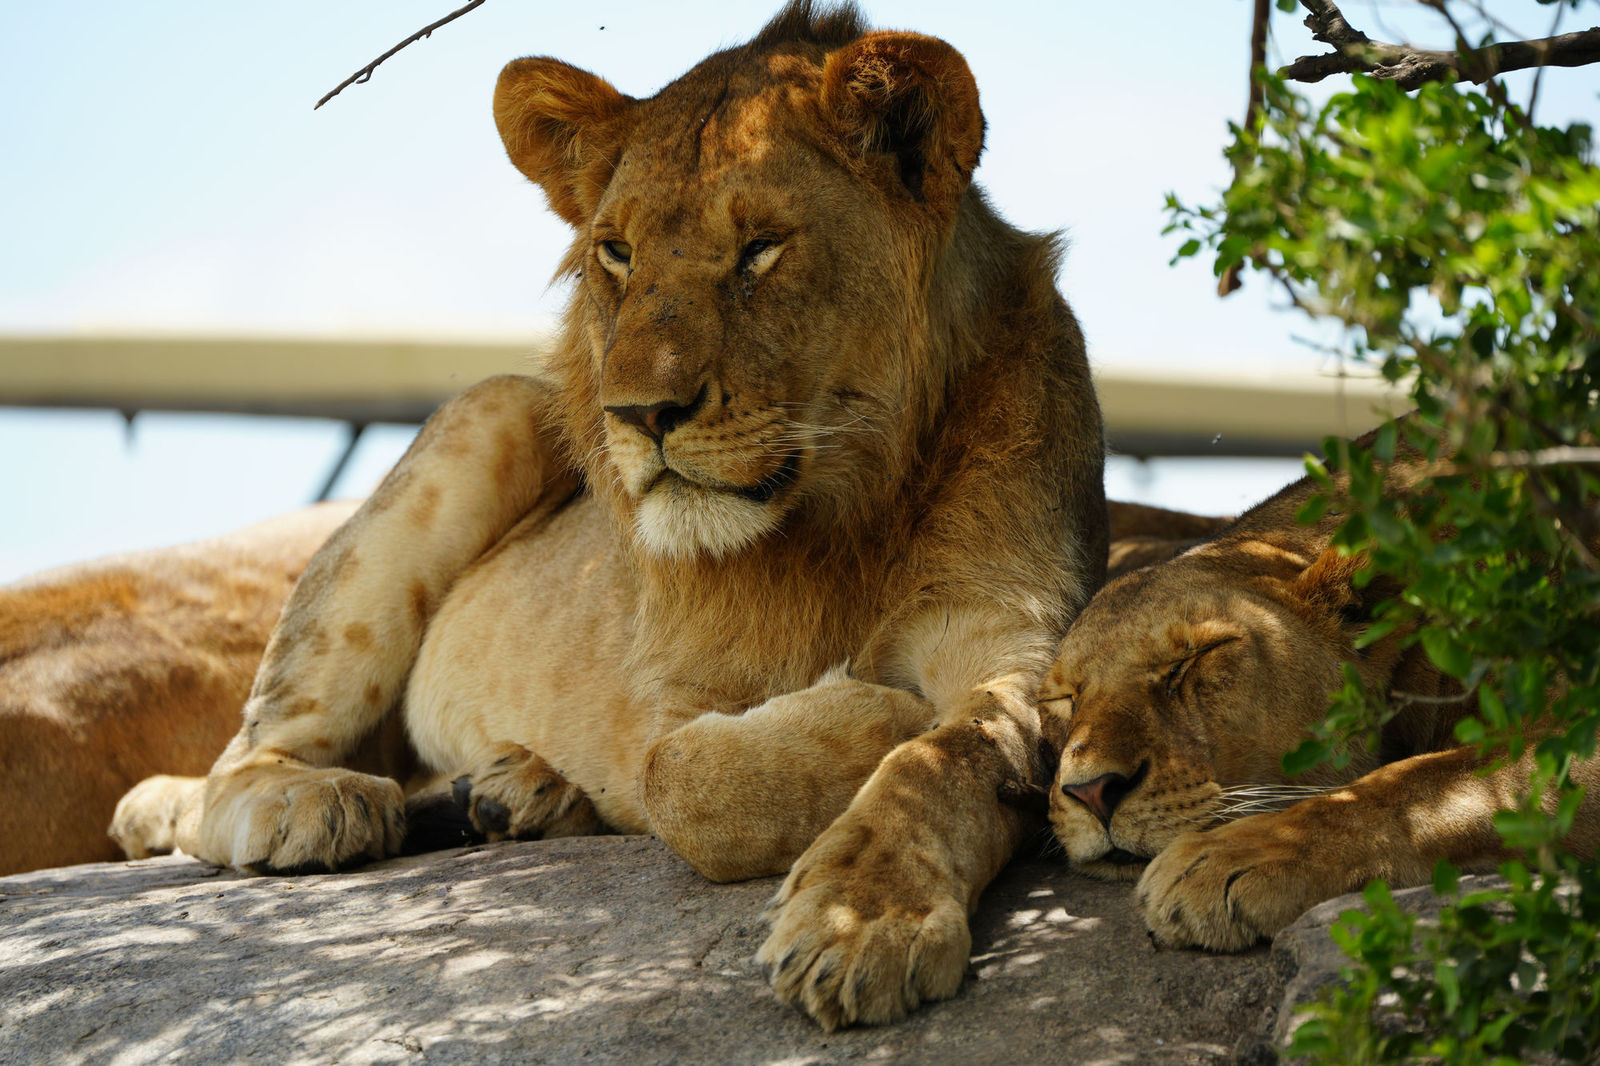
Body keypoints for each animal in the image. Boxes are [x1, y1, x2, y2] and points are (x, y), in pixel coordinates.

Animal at [107, 1, 1105, 1029]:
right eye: (616, 254)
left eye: (760, 247)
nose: (640, 414)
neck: (842, 509)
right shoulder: (674, 694)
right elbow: (687, 779)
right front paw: (881, 708)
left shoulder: (1009, 637)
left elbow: (948, 760)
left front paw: (865, 917)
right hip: (496, 408)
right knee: (238, 764)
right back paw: (315, 806)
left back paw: (515, 795)